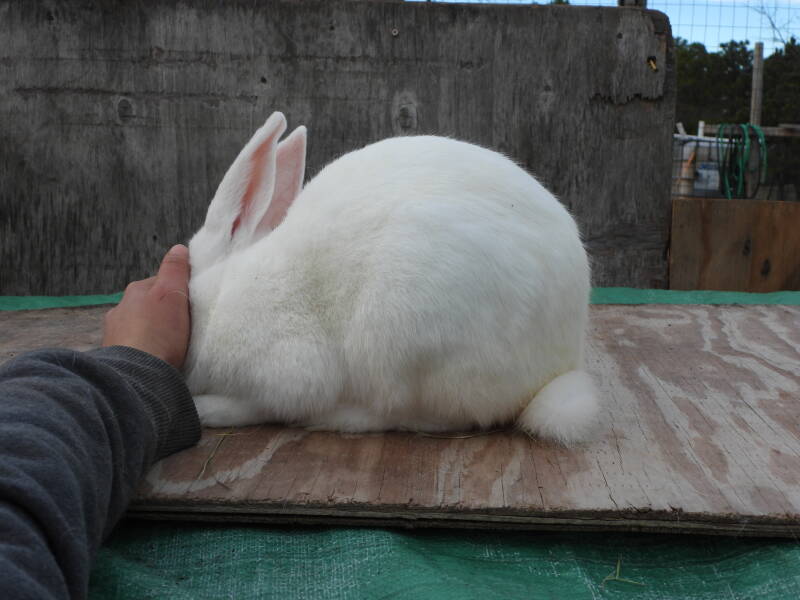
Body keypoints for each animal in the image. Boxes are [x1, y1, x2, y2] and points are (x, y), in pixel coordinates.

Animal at [184, 111, 599, 444]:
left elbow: (260, 405)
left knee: (437, 418)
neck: (224, 292)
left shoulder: (289, 373)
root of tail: (564, 357)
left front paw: (207, 409)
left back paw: (344, 417)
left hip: (409, 347)